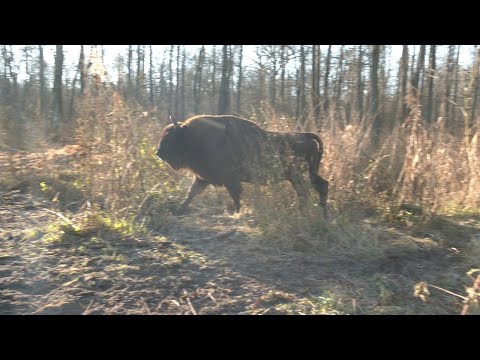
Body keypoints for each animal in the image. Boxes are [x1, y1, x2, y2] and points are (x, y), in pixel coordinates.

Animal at [156, 115, 328, 215]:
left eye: (169, 137)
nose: (158, 152)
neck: (193, 136)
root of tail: (306, 136)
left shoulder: (229, 180)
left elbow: (236, 196)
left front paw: (236, 213)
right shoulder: (202, 178)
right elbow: (191, 193)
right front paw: (179, 209)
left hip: (297, 176)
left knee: (306, 192)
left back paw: (305, 213)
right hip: (307, 175)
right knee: (321, 185)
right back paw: (321, 213)